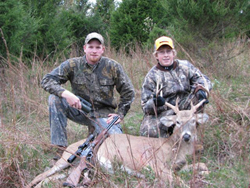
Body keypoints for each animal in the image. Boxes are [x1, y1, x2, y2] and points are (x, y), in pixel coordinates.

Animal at [26, 99, 209, 187]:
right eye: (177, 122)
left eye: (194, 121)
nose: (186, 136)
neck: (172, 149)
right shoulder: (151, 163)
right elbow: (179, 182)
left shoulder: (178, 165)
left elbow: (203, 166)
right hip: (66, 158)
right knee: (41, 175)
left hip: (72, 167)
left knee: (49, 179)